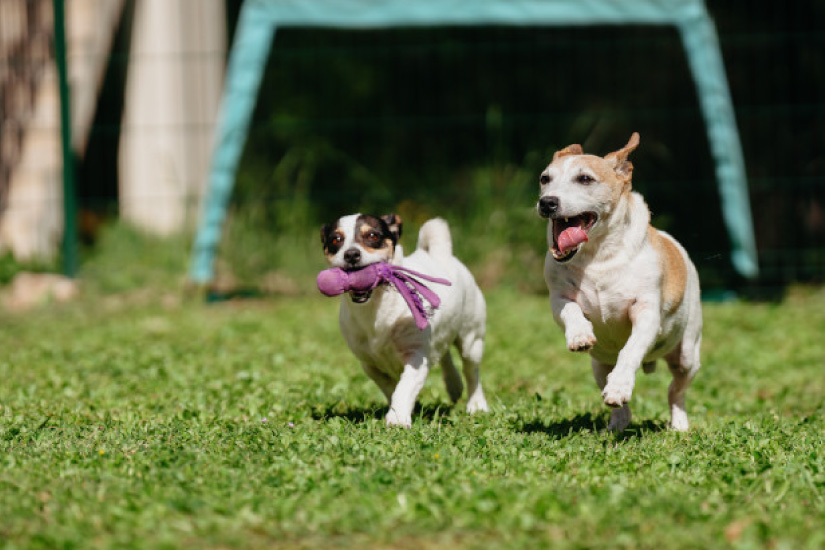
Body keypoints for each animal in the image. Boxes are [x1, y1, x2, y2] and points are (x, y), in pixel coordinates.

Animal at [536, 133, 700, 432]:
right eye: (545, 178)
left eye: (585, 179)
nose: (547, 202)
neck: (598, 255)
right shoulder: (558, 298)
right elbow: (570, 310)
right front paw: (579, 334)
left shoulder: (646, 313)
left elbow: (630, 350)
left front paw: (621, 386)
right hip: (599, 364)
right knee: (617, 397)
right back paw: (618, 422)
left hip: (687, 356)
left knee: (676, 391)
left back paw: (679, 423)